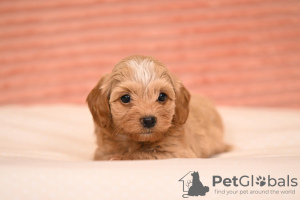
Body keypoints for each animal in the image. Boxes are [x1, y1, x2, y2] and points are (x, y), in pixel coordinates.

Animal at [88, 55, 229, 161]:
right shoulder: (102, 152)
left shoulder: (177, 151)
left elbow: (142, 154)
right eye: (125, 98)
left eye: (162, 96)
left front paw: (121, 158)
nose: (149, 120)